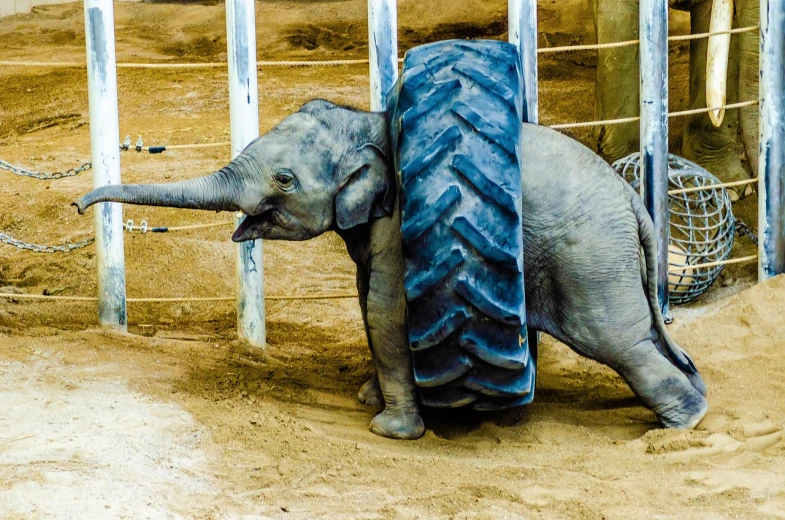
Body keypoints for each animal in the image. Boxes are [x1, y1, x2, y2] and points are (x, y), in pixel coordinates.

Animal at [75, 98, 712, 438]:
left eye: (284, 179)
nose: (79, 204)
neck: (371, 120)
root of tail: (633, 200)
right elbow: (365, 301)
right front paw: (367, 398)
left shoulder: (404, 217)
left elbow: (385, 309)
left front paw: (389, 429)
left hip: (589, 256)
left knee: (617, 339)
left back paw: (680, 424)